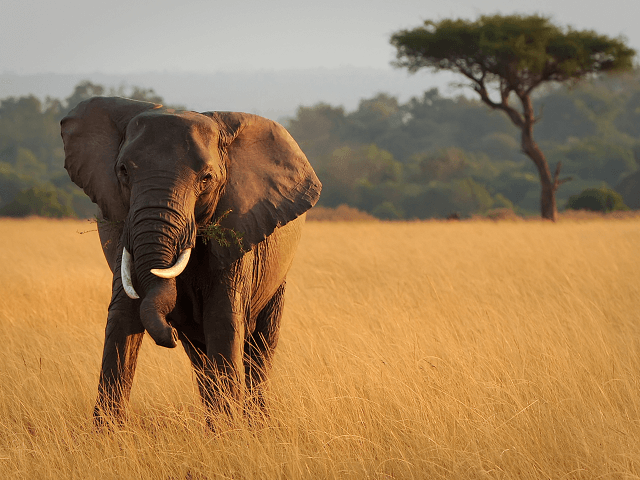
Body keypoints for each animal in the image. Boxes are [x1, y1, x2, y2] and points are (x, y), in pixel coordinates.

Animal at [60, 96, 320, 424]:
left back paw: (255, 423)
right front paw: (107, 433)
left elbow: (223, 320)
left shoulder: (238, 229)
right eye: (123, 171)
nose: (169, 332)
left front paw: (231, 433)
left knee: (260, 346)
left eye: (207, 179)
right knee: (200, 356)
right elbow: (123, 317)